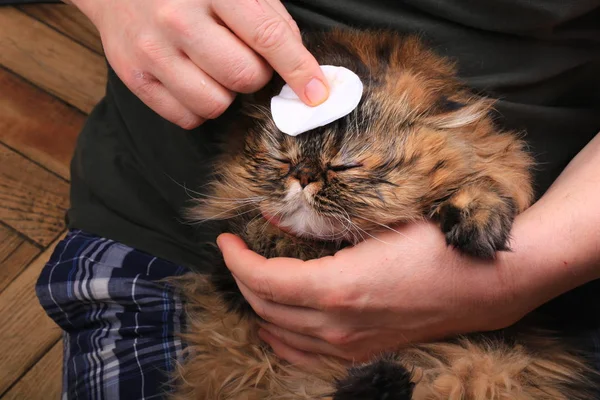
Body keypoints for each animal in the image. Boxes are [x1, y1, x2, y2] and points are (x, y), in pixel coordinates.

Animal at [169, 29, 600, 398]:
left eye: (345, 165)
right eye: (282, 159)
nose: (304, 176)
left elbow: (484, 182)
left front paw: (478, 224)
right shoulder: (229, 269)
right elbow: (257, 229)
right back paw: (381, 379)